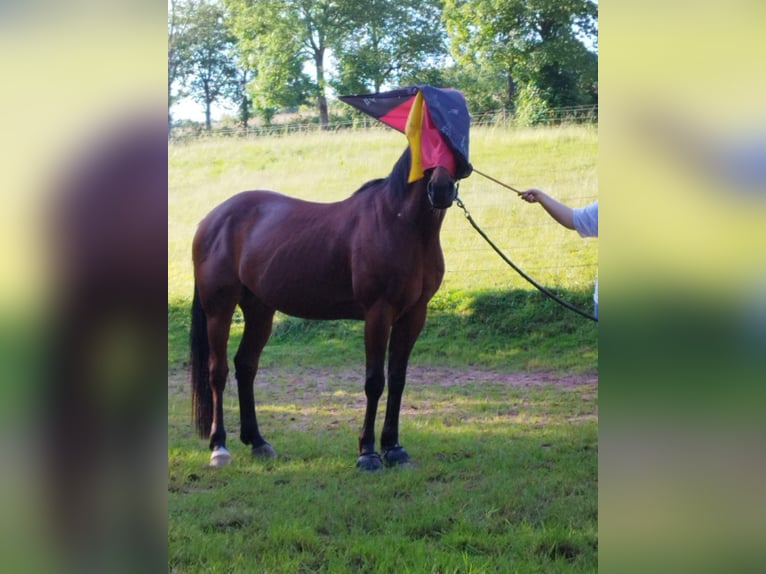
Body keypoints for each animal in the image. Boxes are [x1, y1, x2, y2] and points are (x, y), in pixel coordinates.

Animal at [190, 148, 456, 472]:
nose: (441, 189)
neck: (400, 222)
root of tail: (212, 219)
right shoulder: (378, 314)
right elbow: (374, 381)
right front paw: (368, 453)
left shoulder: (414, 315)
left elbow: (397, 379)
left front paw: (394, 448)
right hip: (219, 311)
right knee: (218, 372)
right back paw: (219, 447)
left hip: (260, 311)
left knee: (246, 366)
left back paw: (258, 441)